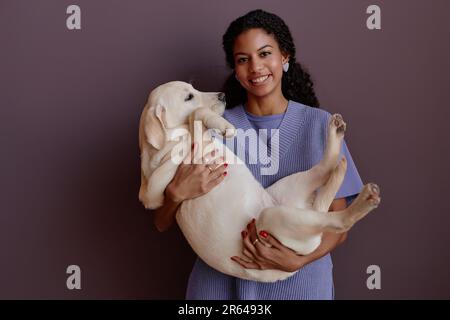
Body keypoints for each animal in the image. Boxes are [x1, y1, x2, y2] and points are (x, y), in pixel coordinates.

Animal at [138, 81, 380, 282]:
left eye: (194, 89)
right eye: (189, 96)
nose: (223, 95)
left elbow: (196, 119)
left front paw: (219, 124)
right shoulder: (156, 191)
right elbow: (194, 117)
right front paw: (221, 126)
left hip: (289, 188)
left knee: (323, 169)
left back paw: (336, 141)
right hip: (275, 217)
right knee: (339, 220)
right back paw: (364, 200)